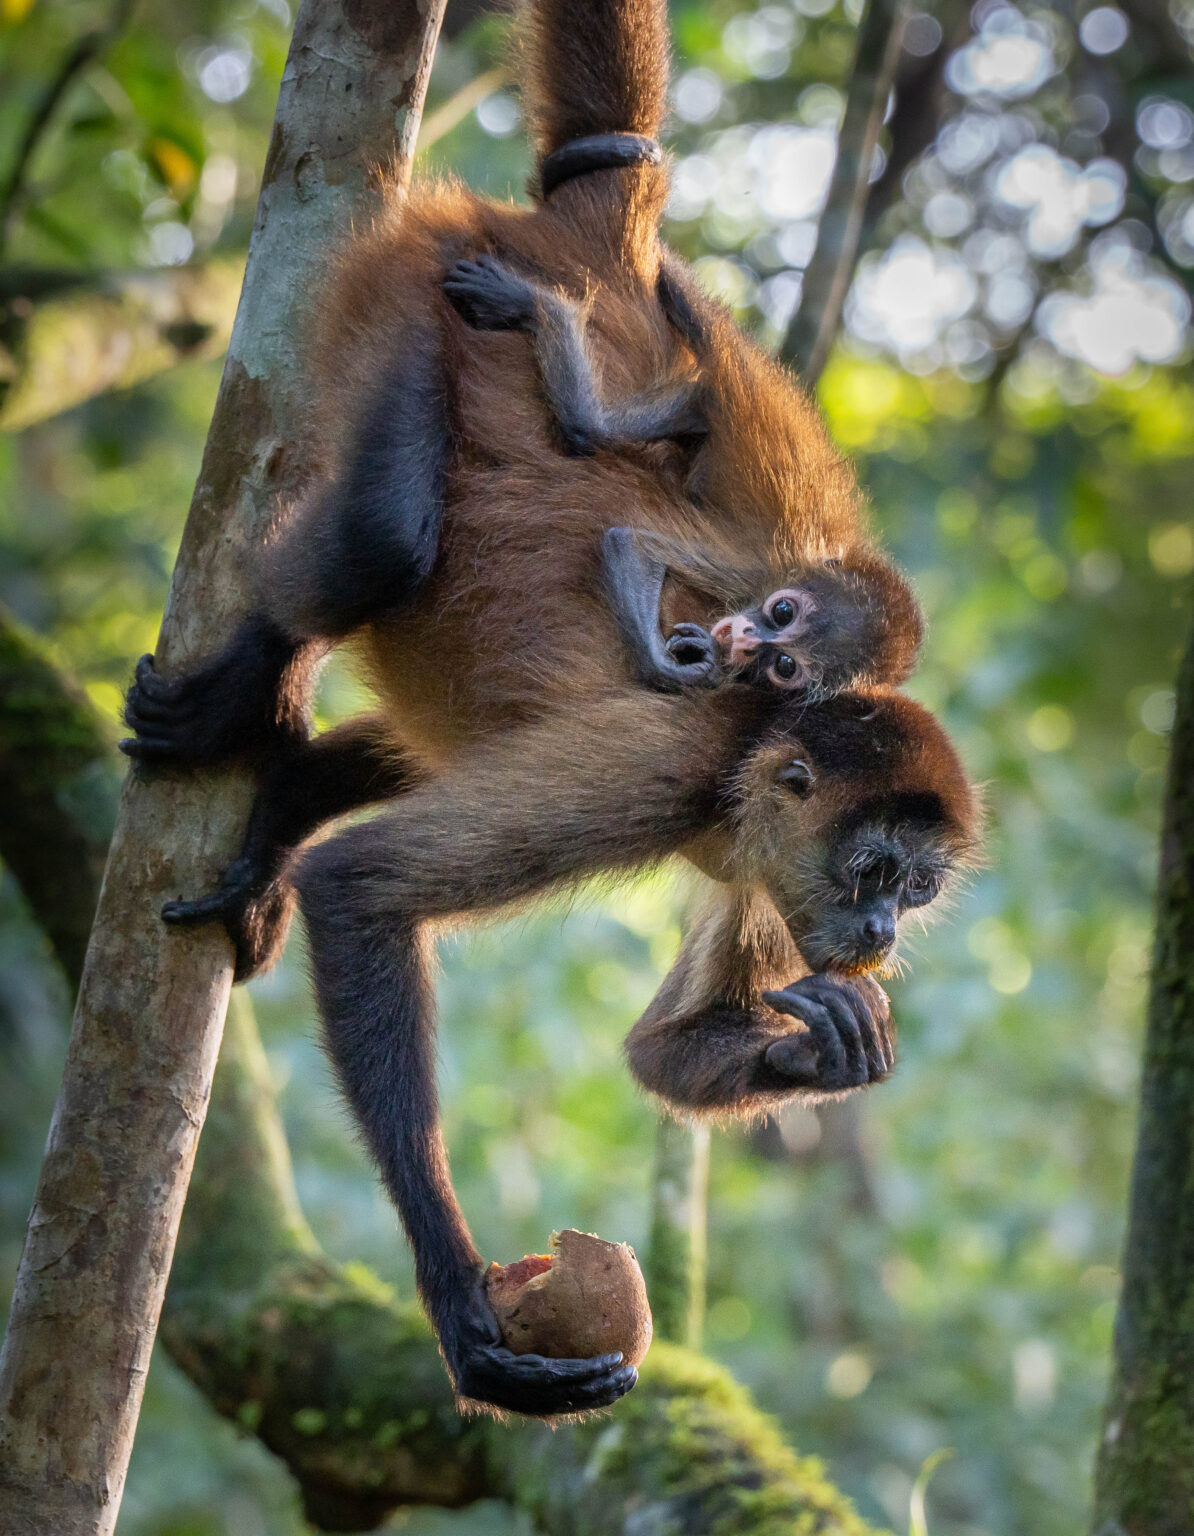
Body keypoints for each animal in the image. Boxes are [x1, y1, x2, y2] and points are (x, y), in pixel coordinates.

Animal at [121, 0, 977, 1417]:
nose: (871, 934)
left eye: (912, 892)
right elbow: (364, 889)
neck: (749, 752)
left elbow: (659, 1051)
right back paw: (250, 695)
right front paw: (459, 1307)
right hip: (417, 301)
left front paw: (825, 1053)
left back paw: (285, 793)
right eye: (874, 873)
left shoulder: (759, 860)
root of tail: (590, 255)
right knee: (383, 538)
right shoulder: (667, 763)